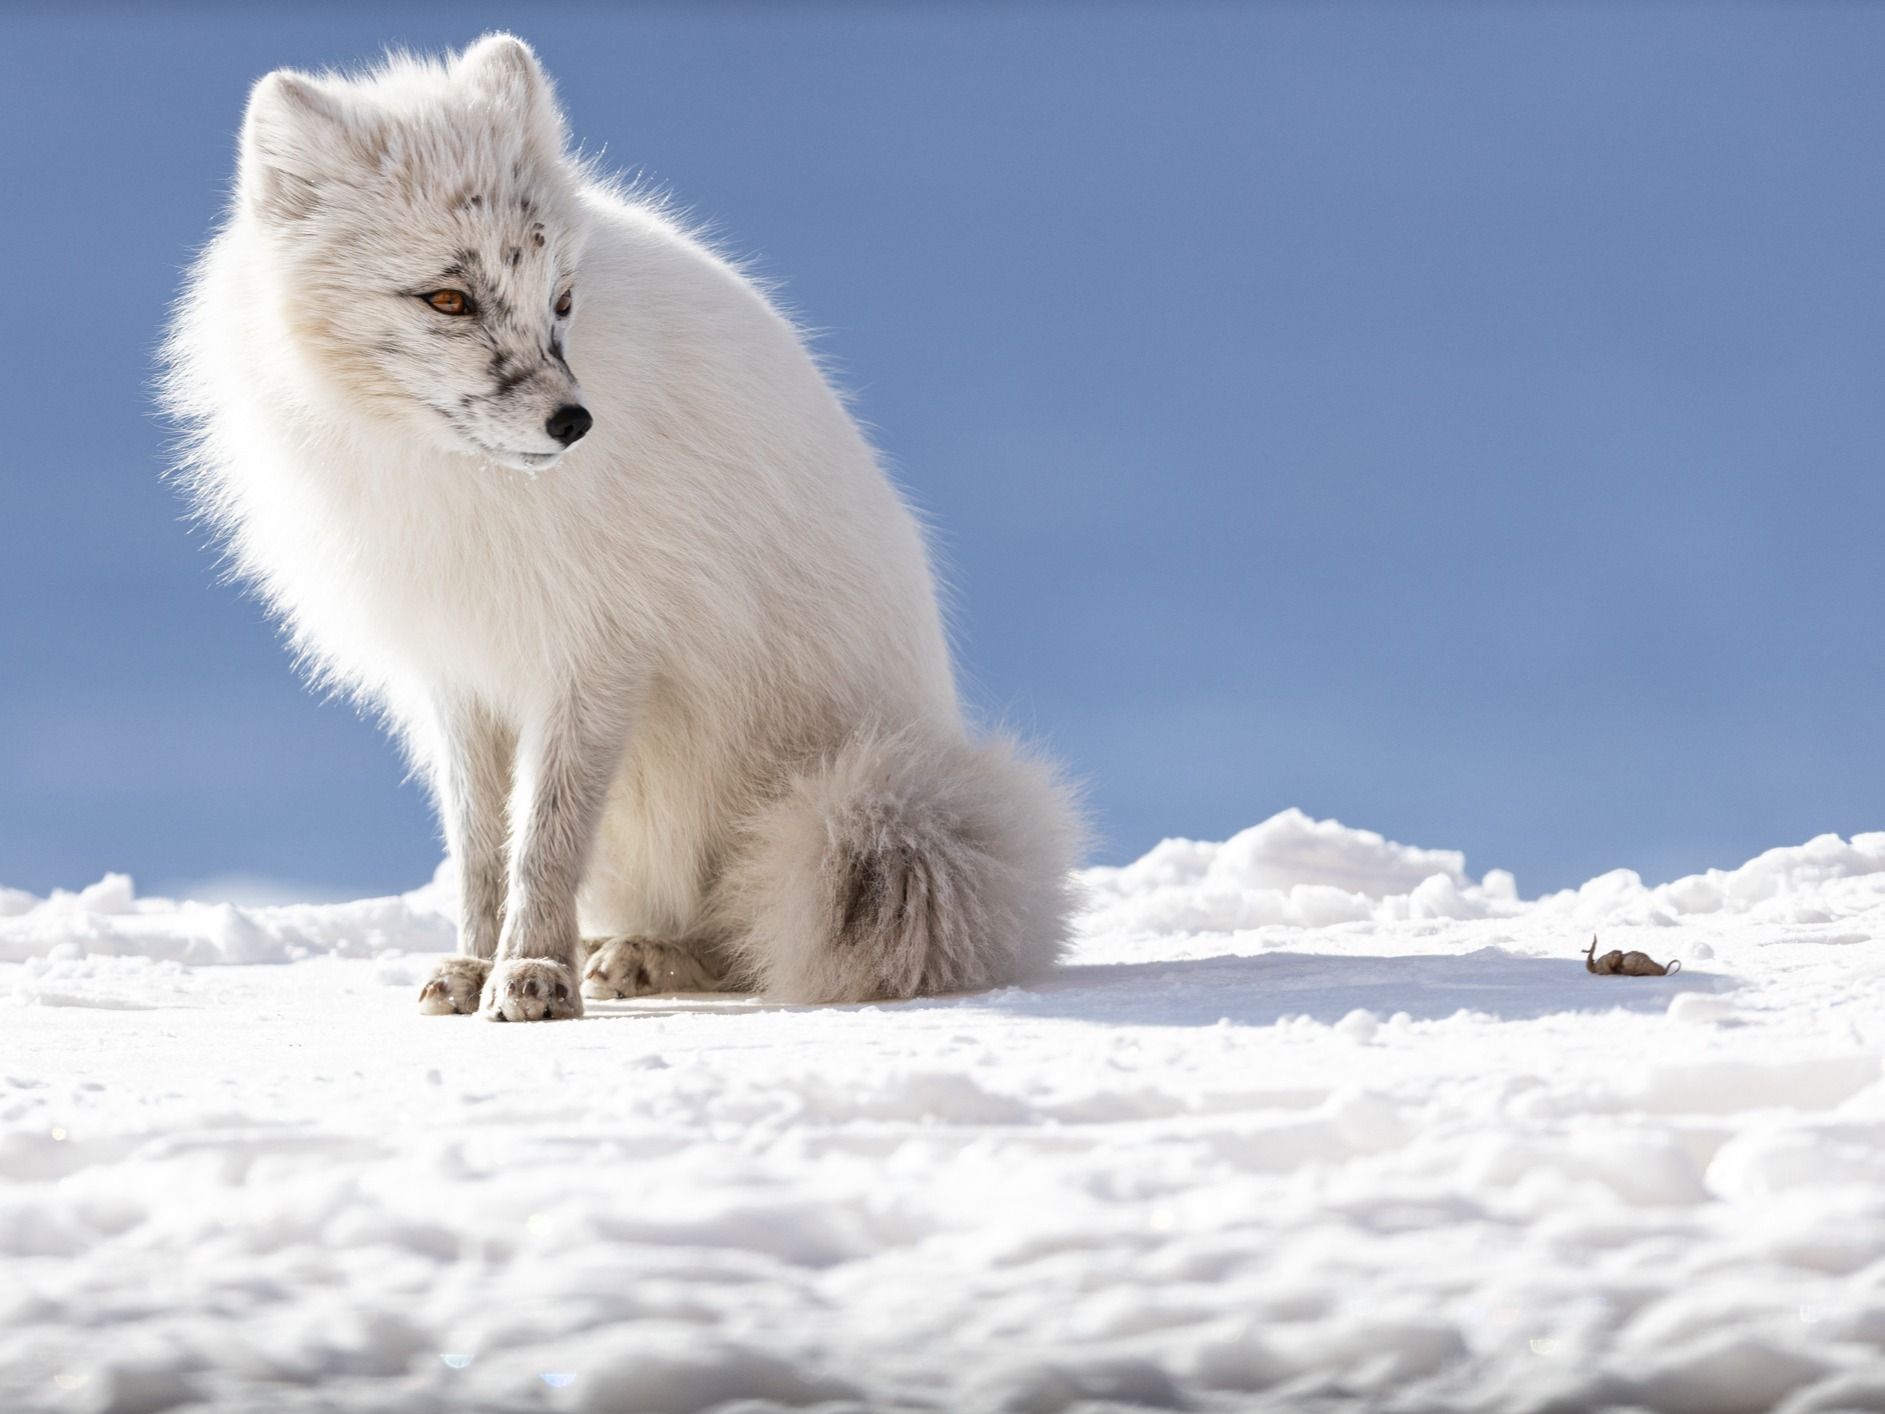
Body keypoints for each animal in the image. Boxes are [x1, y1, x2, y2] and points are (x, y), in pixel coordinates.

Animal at [169, 33, 1085, 1025]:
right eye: (448, 300)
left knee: (743, 931)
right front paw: (475, 964)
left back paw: (647, 956)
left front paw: (533, 973)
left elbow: (545, 840)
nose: (574, 424)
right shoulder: (461, 675)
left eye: (562, 300)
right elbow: (481, 848)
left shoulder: (598, 653)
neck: (461, 489)